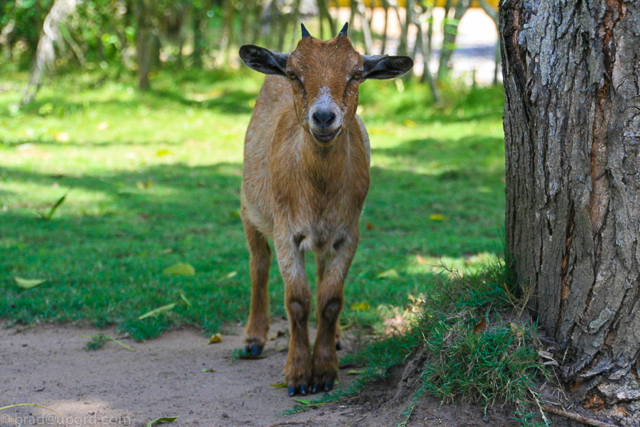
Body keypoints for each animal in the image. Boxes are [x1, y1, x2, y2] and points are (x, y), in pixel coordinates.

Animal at [238, 23, 412, 398]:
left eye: (357, 74)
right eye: (294, 74)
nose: (323, 117)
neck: (317, 191)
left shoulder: (348, 233)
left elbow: (330, 299)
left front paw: (325, 371)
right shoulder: (285, 232)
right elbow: (297, 300)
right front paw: (298, 375)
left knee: (319, 273)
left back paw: (336, 339)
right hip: (249, 207)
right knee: (258, 264)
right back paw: (253, 338)